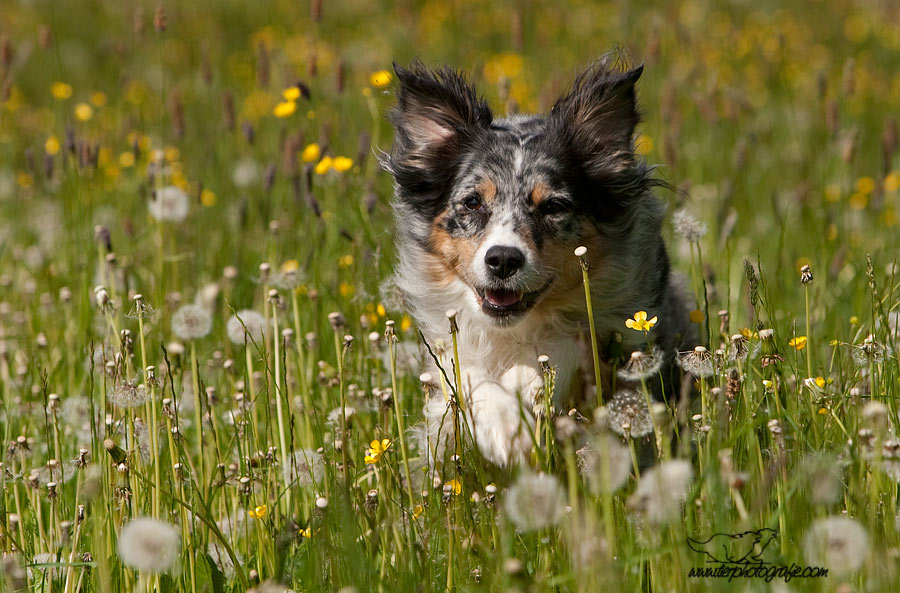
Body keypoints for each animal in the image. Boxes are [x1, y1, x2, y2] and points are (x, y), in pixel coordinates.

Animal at [384, 60, 692, 468]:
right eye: (472, 202)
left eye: (553, 206)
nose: (503, 259)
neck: (515, 327)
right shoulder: (446, 343)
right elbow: (462, 372)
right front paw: (505, 423)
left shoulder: (618, 326)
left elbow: (565, 345)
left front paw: (523, 389)